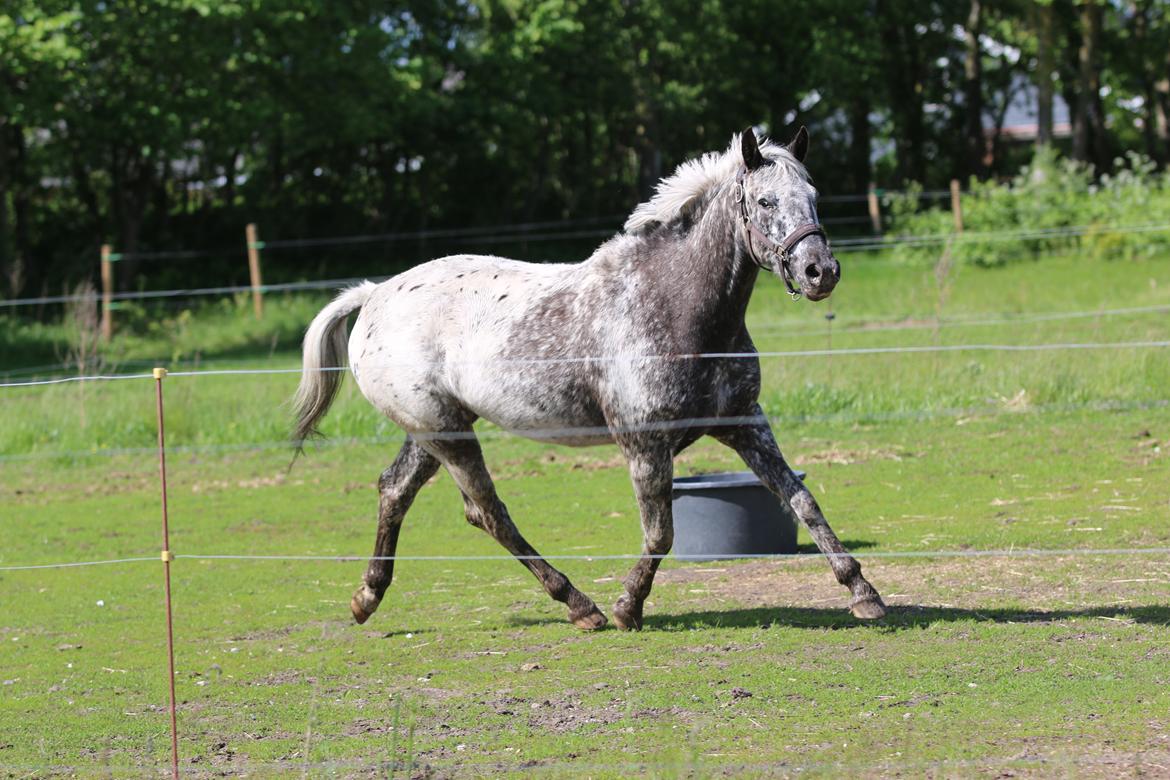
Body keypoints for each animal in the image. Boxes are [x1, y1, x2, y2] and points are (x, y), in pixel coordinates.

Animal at [292, 126, 884, 626]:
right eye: (765, 202)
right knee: (488, 512)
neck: (677, 305)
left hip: (435, 430)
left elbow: (802, 500)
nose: (821, 272)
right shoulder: (644, 443)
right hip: (447, 435)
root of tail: (375, 294)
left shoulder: (743, 423)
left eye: (814, 197)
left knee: (396, 490)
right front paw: (627, 608)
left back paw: (367, 597)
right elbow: (660, 533)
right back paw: (581, 606)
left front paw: (864, 594)